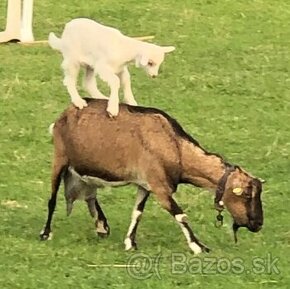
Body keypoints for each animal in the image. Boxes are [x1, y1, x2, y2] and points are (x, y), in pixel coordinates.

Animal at [39, 98, 264, 252]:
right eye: (246, 194)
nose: (258, 224)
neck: (174, 146)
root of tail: (62, 116)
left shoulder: (145, 185)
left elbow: (137, 212)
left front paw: (130, 243)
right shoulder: (159, 186)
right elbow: (180, 215)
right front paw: (198, 246)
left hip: (85, 171)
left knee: (90, 196)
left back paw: (102, 226)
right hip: (60, 159)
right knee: (52, 199)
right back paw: (45, 233)